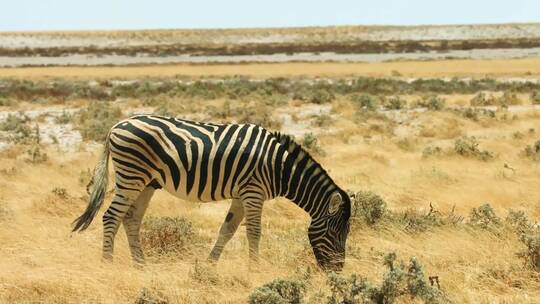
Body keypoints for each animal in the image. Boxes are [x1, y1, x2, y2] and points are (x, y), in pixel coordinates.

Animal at [73, 114, 350, 270]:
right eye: (336, 232)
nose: (337, 271)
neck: (280, 166)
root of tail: (115, 126)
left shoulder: (241, 194)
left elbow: (227, 230)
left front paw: (209, 266)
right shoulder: (253, 191)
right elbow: (254, 232)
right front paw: (255, 269)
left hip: (146, 182)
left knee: (130, 219)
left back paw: (141, 266)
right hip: (131, 175)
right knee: (111, 217)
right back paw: (107, 265)